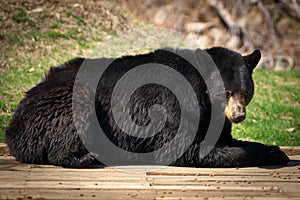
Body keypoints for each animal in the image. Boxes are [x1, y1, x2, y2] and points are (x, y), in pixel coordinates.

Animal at [5, 47, 290, 167]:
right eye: (226, 92)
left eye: (246, 92)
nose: (238, 114)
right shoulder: (175, 104)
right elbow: (184, 148)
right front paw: (263, 154)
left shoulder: (213, 117)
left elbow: (224, 138)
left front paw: (273, 150)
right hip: (66, 101)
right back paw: (85, 157)